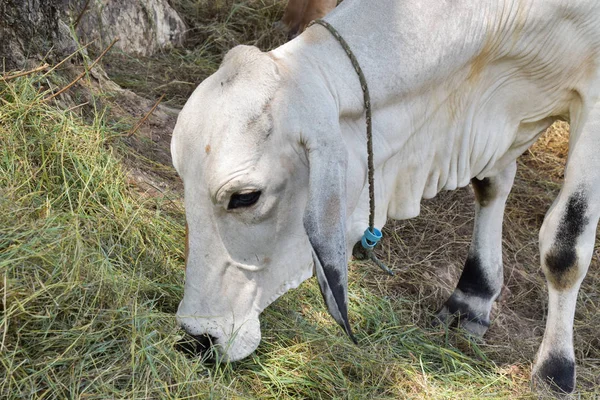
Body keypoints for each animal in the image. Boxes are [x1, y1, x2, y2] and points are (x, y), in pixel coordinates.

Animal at [171, 0, 600, 394]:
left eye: (246, 197)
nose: (198, 338)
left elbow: (565, 247)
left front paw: (555, 371)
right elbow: (490, 183)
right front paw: (472, 296)